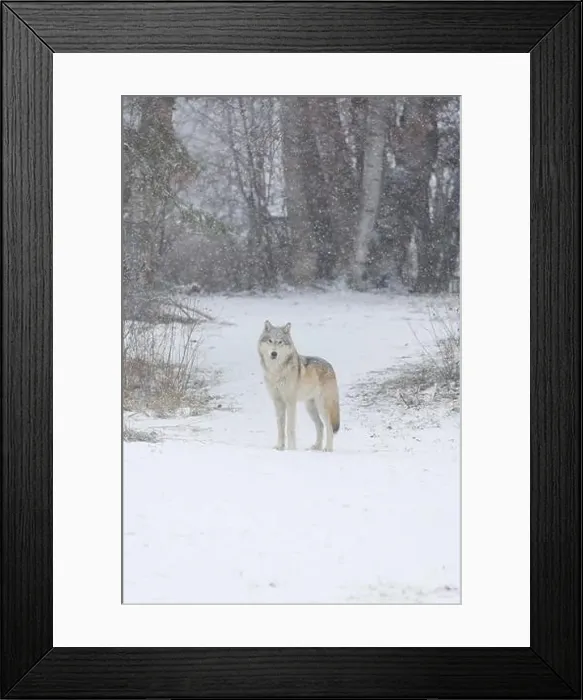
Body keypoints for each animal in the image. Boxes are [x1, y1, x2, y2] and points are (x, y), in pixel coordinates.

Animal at [258, 320, 340, 452]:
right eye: (270, 340)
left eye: (280, 342)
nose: (274, 353)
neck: (276, 372)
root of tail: (330, 366)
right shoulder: (278, 402)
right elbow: (280, 427)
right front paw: (279, 447)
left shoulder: (290, 402)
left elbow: (289, 428)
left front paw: (291, 449)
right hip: (310, 408)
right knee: (320, 425)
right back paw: (316, 447)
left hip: (323, 406)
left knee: (329, 427)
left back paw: (328, 449)